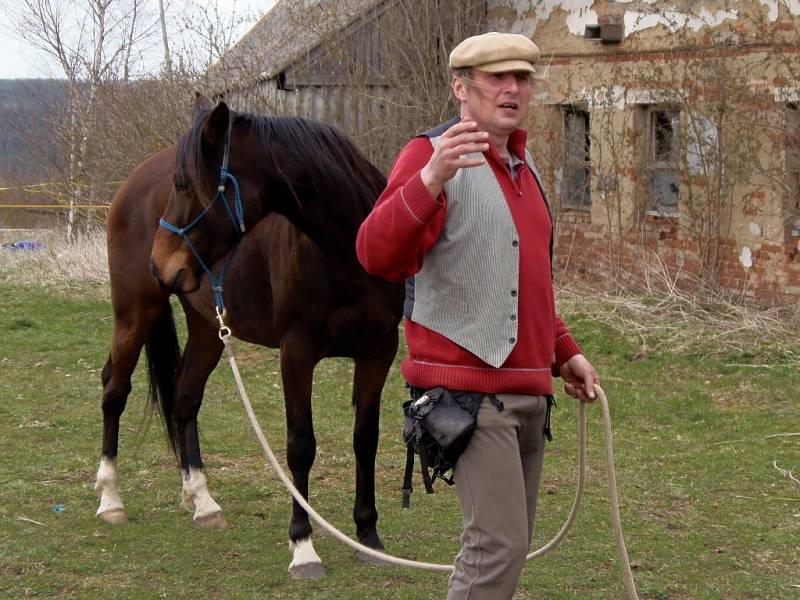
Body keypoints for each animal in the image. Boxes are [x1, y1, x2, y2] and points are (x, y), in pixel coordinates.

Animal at [96, 96, 404, 580]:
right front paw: (303, 546)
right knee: (114, 390)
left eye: (185, 184)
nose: (159, 264)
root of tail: (134, 180)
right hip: (135, 311)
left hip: (208, 329)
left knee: (185, 400)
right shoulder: (297, 354)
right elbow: (300, 446)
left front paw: (368, 537)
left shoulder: (379, 351)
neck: (348, 252)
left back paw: (203, 502)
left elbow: (365, 438)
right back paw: (110, 498)